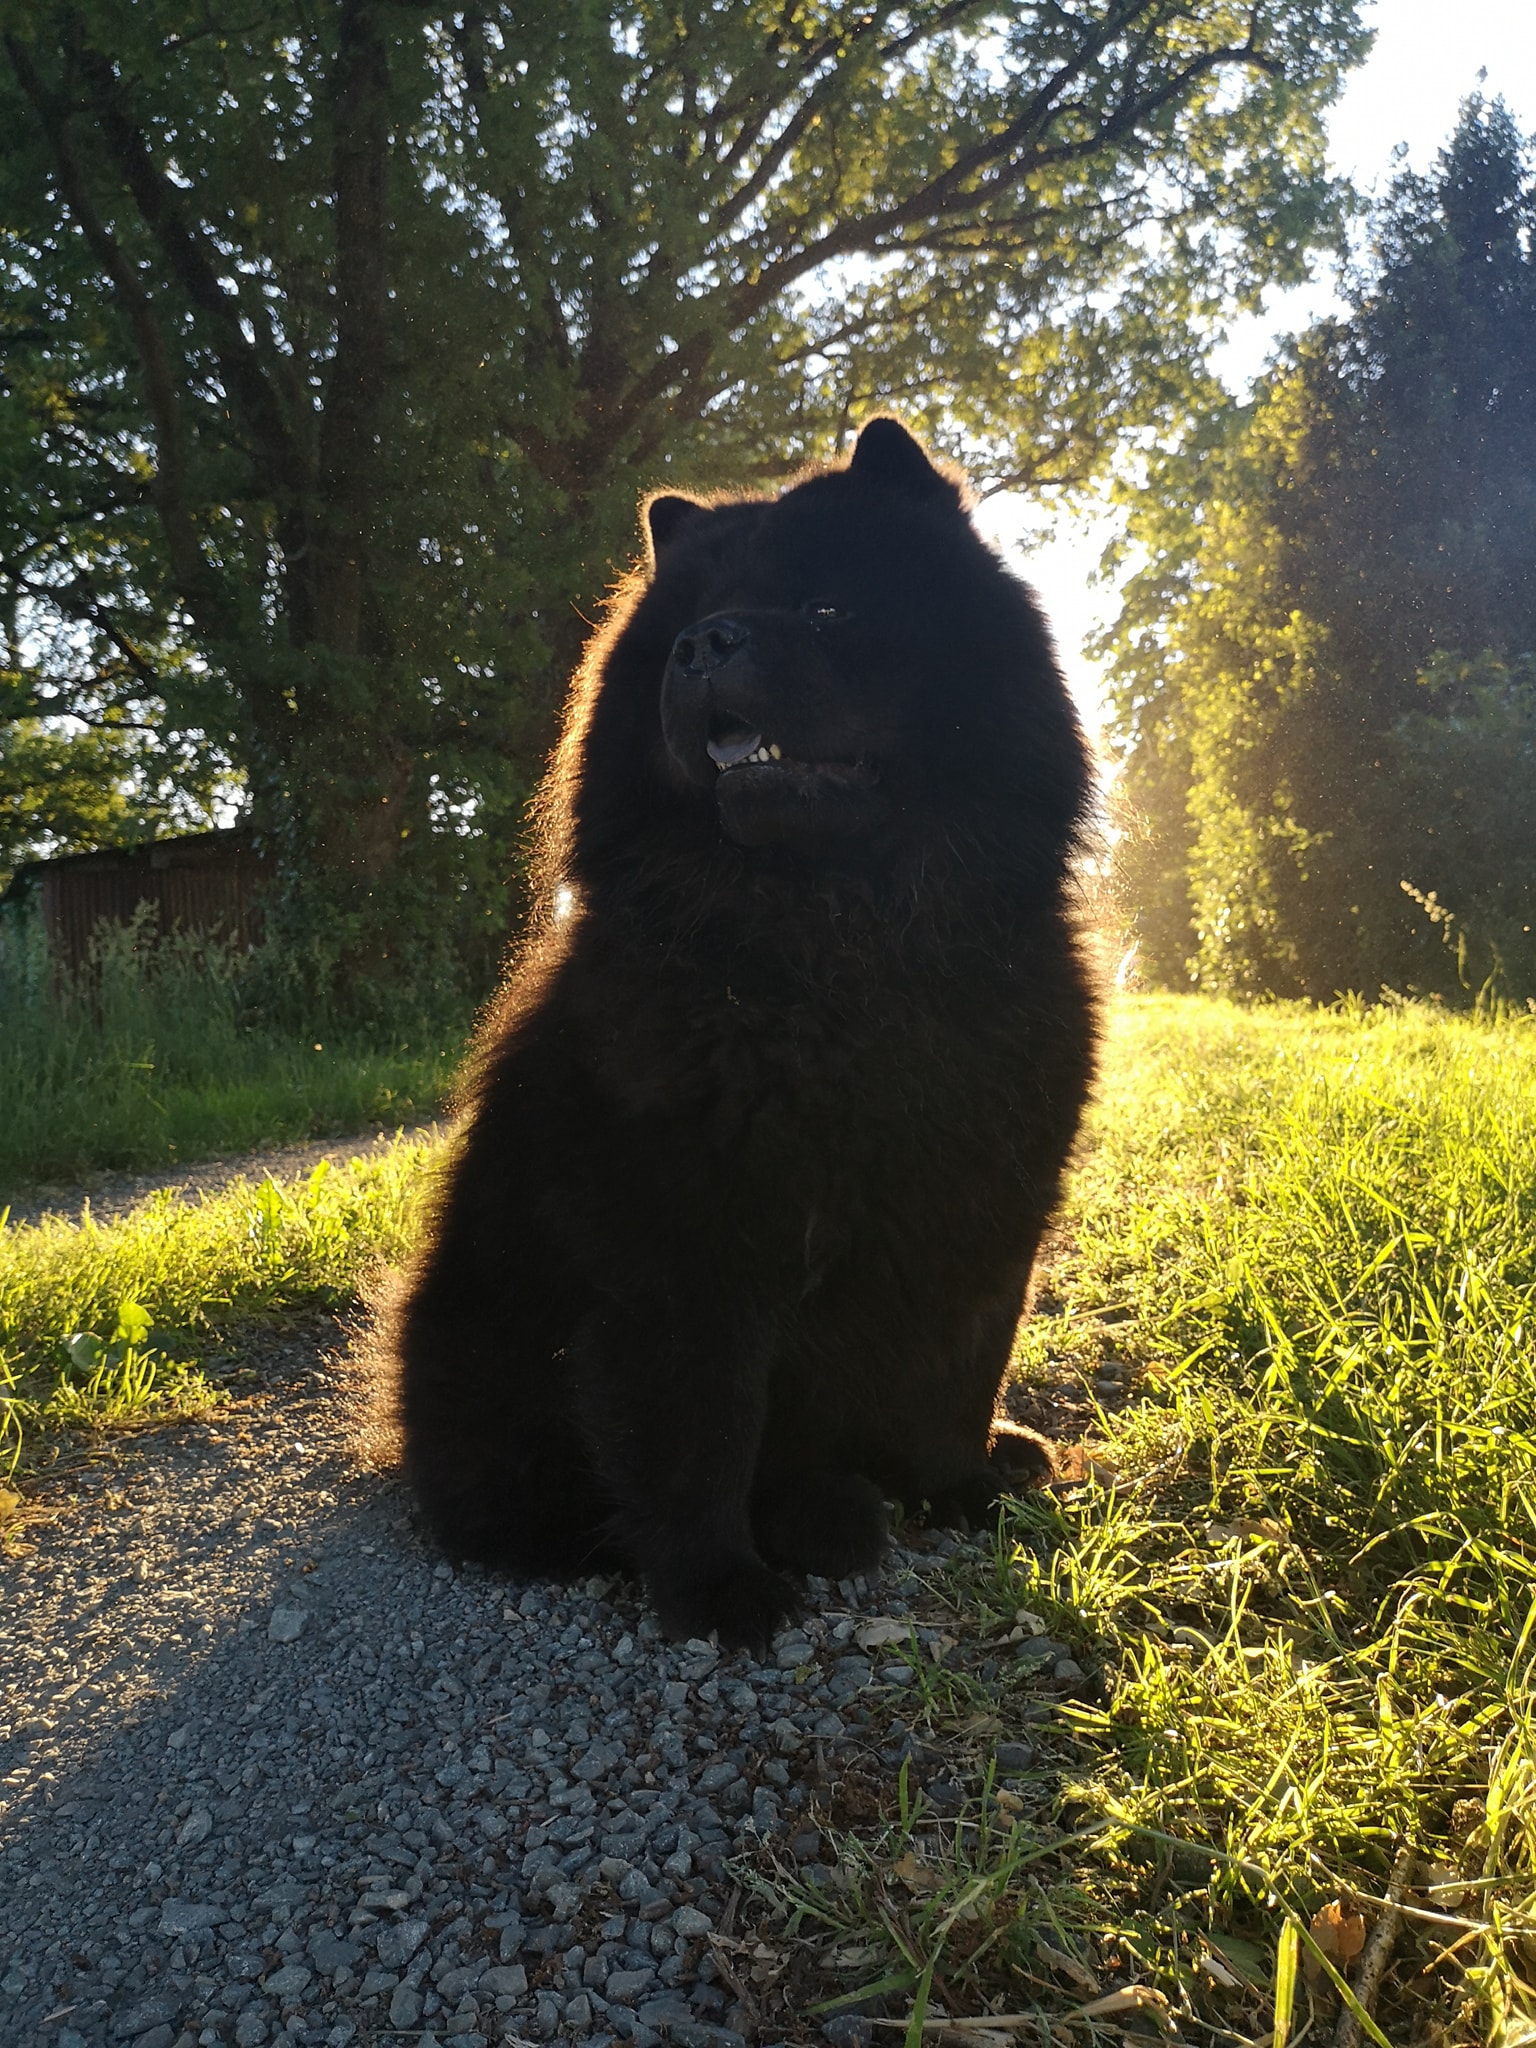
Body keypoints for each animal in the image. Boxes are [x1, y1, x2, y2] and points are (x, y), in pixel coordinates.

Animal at [391, 419, 1097, 1646]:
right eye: (683, 631)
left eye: (827, 608)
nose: (704, 645)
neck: (834, 950)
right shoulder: (685, 1256)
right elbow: (697, 1436)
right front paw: (720, 1589)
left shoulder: (979, 1213)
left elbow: (960, 1373)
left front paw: (960, 1489)